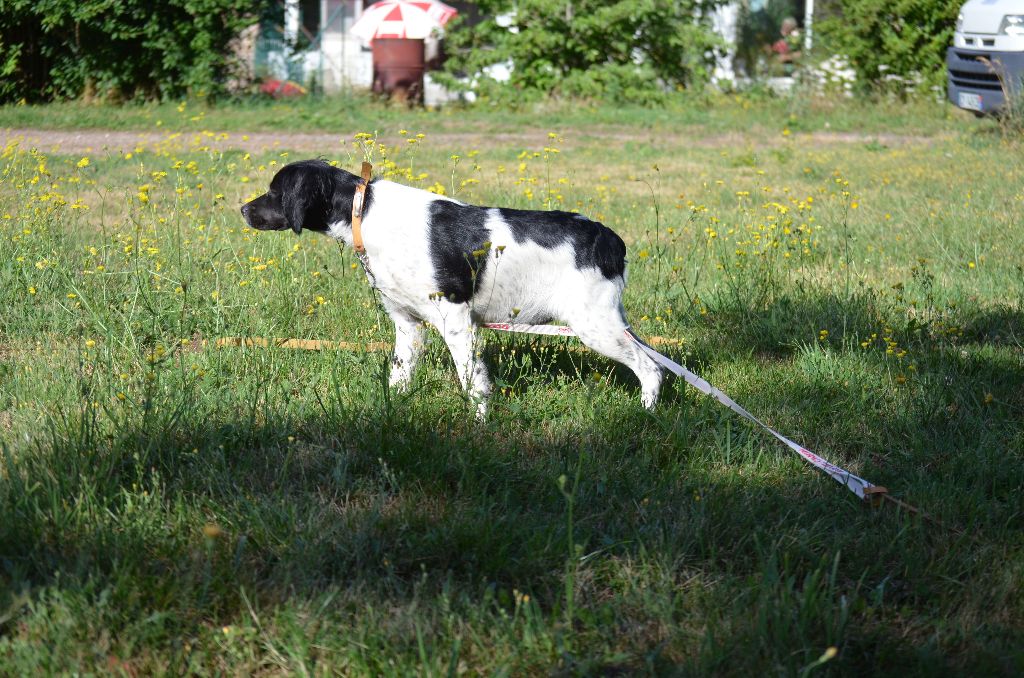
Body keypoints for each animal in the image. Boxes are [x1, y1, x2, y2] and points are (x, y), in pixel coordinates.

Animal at [237, 160, 663, 413]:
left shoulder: (454, 315)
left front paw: (479, 426)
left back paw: (644, 415)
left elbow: (472, 379)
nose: (242, 209)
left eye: (274, 191)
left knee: (652, 368)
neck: (366, 213)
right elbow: (399, 375)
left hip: (595, 325)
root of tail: (612, 240)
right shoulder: (407, 322)